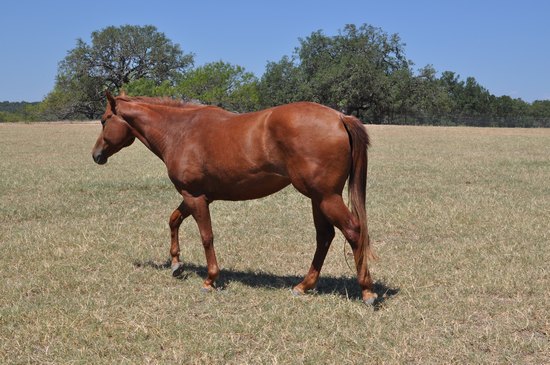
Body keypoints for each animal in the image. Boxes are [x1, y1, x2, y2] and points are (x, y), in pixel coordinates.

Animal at [92, 91, 380, 304]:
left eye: (105, 119)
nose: (96, 155)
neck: (180, 131)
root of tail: (339, 117)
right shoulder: (196, 196)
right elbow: (174, 220)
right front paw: (176, 263)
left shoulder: (195, 197)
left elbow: (206, 236)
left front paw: (210, 279)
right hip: (318, 199)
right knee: (325, 237)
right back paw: (304, 285)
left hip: (326, 197)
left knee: (353, 231)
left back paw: (367, 291)